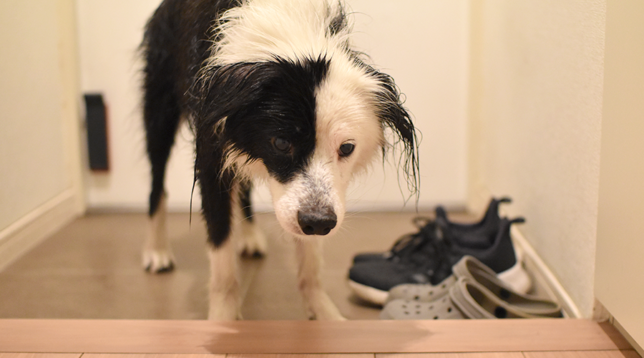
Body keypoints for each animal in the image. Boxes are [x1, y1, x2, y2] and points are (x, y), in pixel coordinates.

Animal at [142, 0, 420, 318]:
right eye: (281, 143)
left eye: (347, 148)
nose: (319, 223)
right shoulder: (212, 149)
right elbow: (221, 248)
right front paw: (224, 318)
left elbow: (311, 261)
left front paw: (323, 313)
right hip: (159, 109)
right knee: (157, 185)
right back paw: (157, 251)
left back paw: (250, 236)